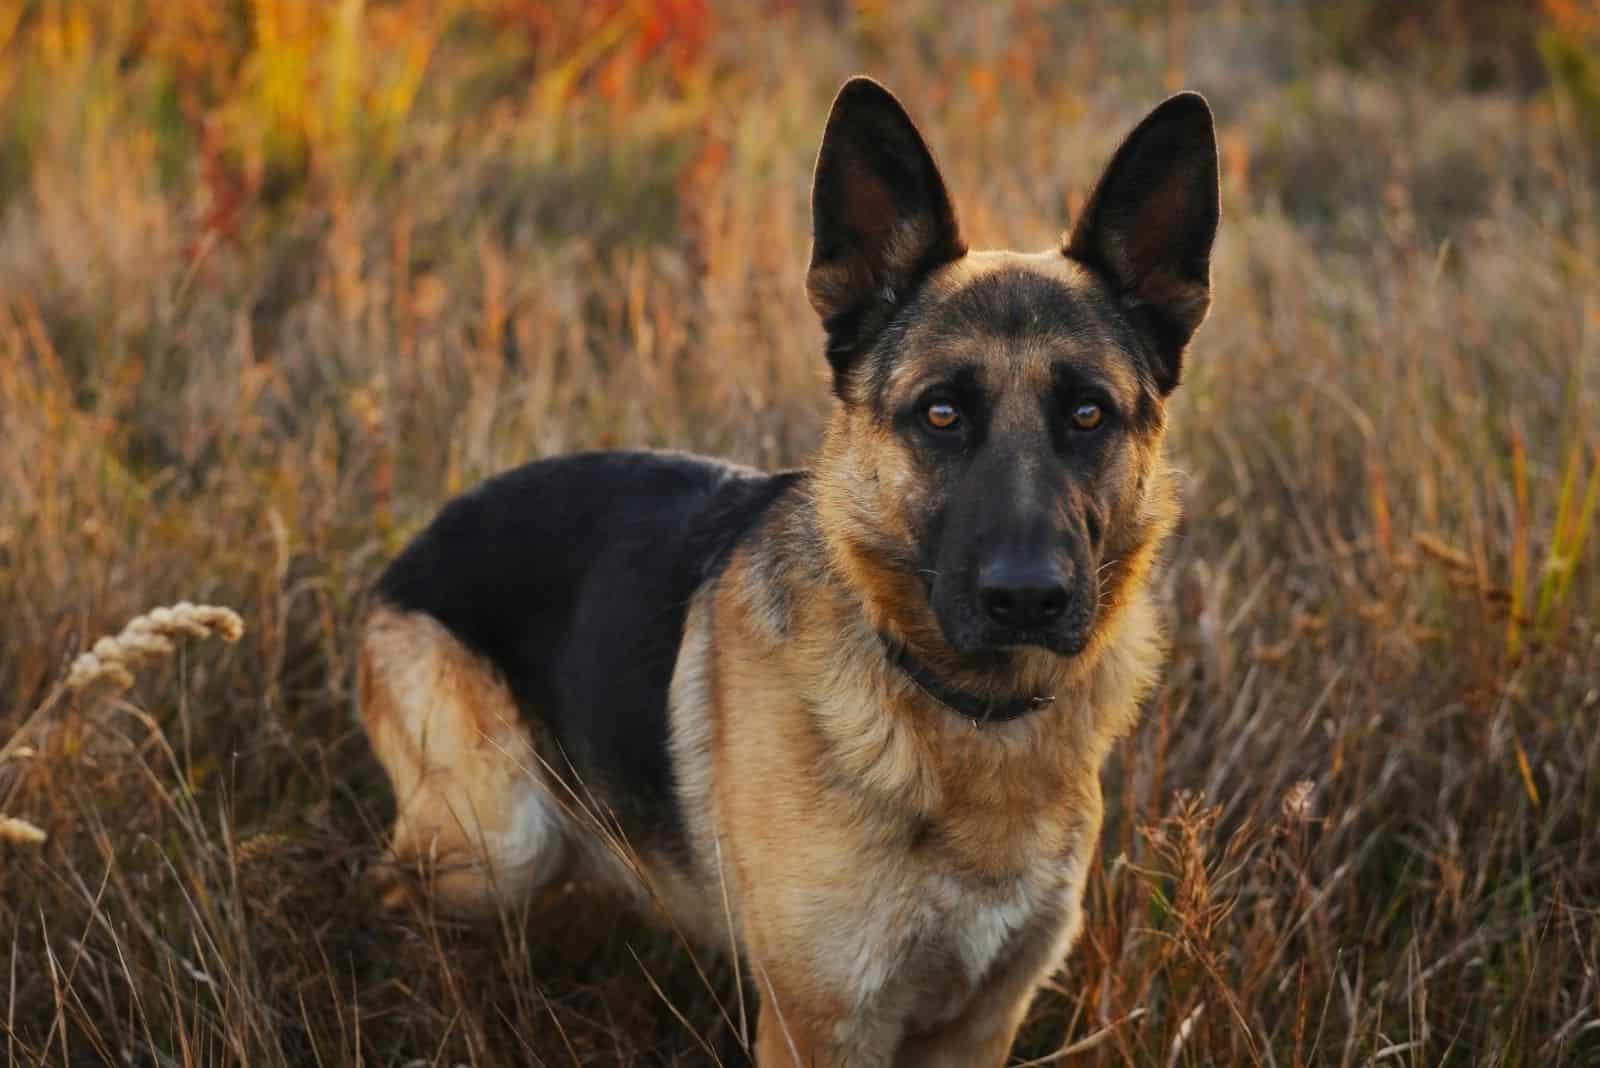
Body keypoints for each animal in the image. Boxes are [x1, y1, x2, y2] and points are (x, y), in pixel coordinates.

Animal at [360, 79, 1209, 1061]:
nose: (1028, 598)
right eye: (942, 414)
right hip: (499, 840)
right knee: (395, 888)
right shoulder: (820, 1024)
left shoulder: (982, 1020)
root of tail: (417, 543)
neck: (963, 715)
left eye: (1088, 414)